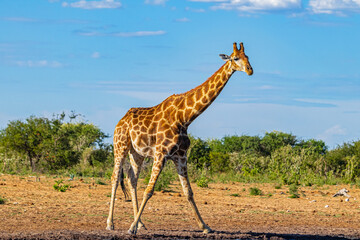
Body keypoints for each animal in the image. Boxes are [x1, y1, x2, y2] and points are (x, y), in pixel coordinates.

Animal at [107, 41, 253, 234]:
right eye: (235, 58)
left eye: (248, 57)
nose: (250, 70)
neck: (185, 117)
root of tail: (120, 121)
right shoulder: (161, 153)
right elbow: (150, 190)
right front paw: (131, 229)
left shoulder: (181, 156)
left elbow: (188, 192)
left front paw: (205, 226)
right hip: (120, 146)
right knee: (115, 178)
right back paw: (110, 223)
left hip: (137, 153)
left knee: (132, 180)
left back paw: (141, 223)